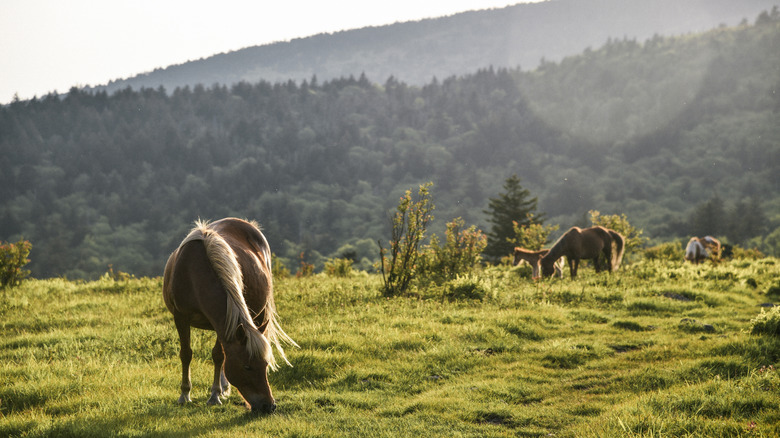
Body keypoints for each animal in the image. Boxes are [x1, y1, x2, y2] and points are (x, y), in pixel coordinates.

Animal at [163, 218, 297, 414]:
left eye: (265, 365)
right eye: (247, 367)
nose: (269, 406)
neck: (194, 273)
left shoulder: (225, 322)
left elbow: (219, 356)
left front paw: (215, 395)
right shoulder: (180, 318)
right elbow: (186, 354)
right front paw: (185, 395)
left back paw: (224, 388)